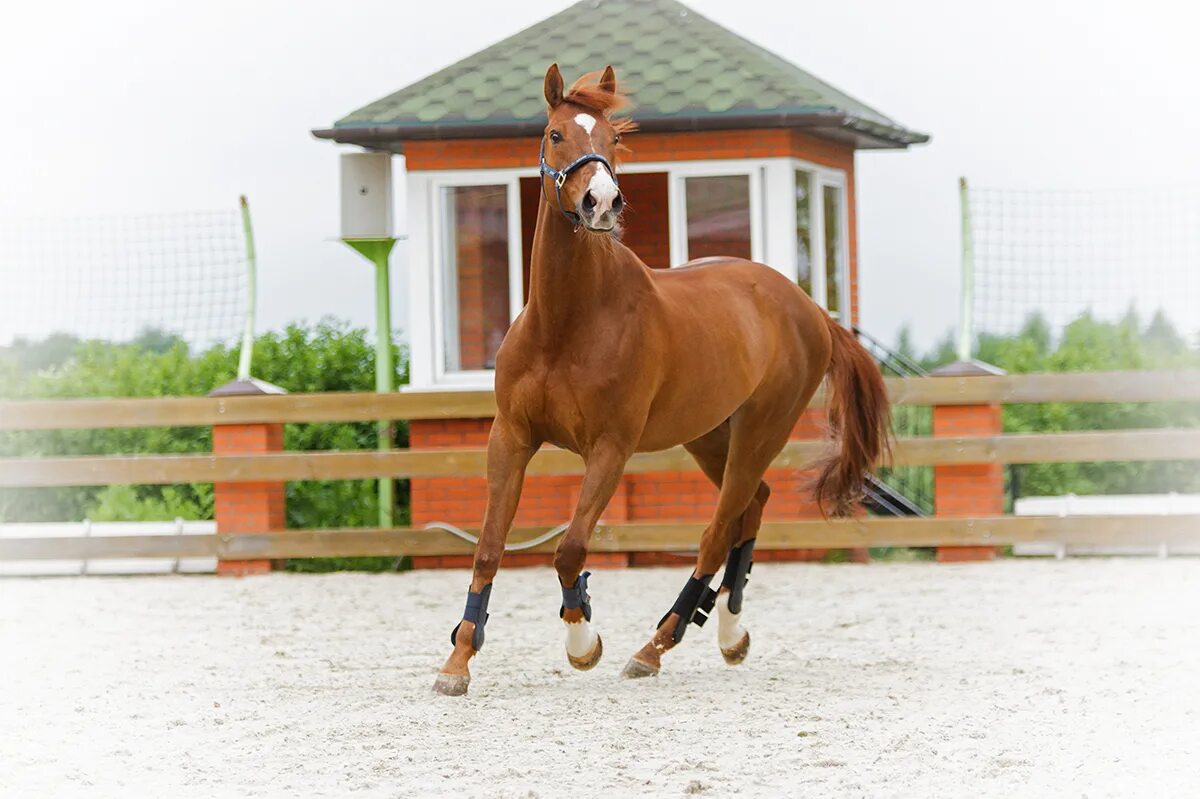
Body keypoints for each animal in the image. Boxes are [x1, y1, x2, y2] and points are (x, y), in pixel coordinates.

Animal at [432, 65, 892, 695]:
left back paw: (656, 646)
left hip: (759, 432)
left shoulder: (610, 448)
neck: (566, 322)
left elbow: (570, 549)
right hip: (709, 436)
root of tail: (810, 310)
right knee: (751, 506)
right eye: (555, 134)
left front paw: (584, 643)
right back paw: (729, 633)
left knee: (717, 530)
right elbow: (487, 548)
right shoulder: (511, 438)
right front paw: (458, 660)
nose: (602, 202)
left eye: (614, 139)